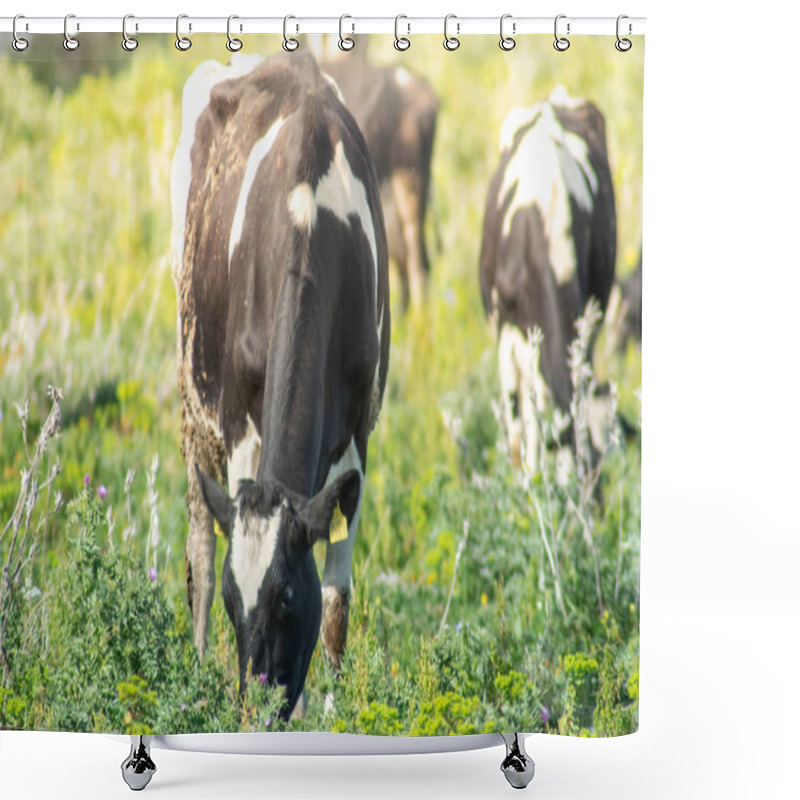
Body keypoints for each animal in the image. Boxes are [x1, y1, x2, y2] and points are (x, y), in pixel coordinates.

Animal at [172, 54, 390, 720]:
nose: (259, 709)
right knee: (198, 548)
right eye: (234, 604)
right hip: (192, 402)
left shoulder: (357, 442)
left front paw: (339, 708)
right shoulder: (241, 427)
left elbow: (338, 600)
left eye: (287, 597)